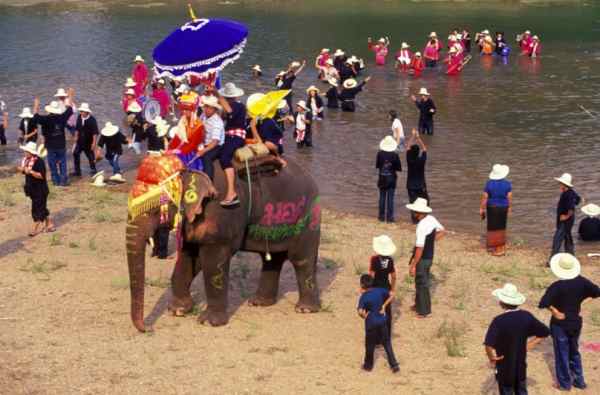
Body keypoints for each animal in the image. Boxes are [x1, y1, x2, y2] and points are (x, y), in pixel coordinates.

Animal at [126, 155, 322, 332]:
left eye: (154, 209)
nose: (149, 328)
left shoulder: (220, 215)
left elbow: (213, 264)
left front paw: (208, 322)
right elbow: (188, 257)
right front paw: (178, 311)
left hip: (308, 216)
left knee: (302, 259)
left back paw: (304, 309)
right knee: (272, 259)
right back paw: (259, 303)